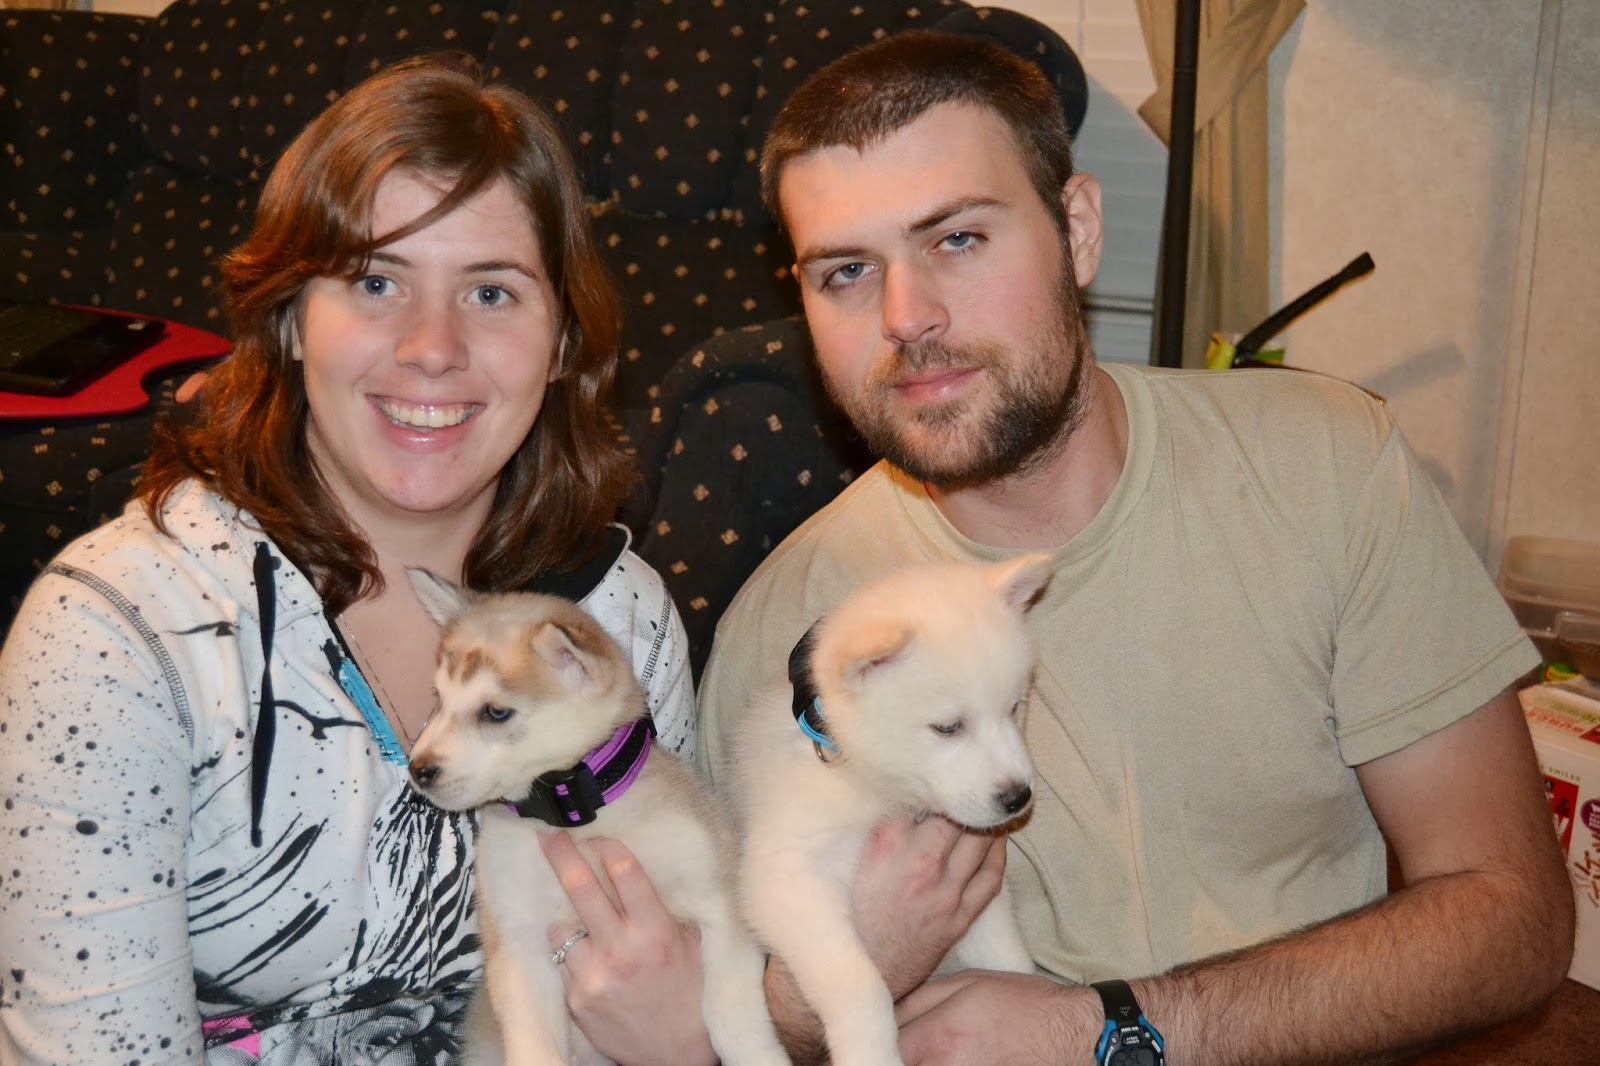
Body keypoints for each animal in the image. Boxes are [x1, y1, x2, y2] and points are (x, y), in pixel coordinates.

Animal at [405, 570, 789, 1066]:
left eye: (496, 712)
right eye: (439, 699)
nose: (418, 769)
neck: (577, 821)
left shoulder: (719, 903)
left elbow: (731, 1013)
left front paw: (759, 1054)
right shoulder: (517, 945)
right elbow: (534, 1045)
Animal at [723, 554, 1051, 1066]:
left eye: (1014, 707)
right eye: (947, 727)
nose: (1017, 797)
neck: (870, 784)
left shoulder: (978, 896)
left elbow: (1006, 955)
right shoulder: (787, 880)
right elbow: (860, 985)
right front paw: (869, 1051)